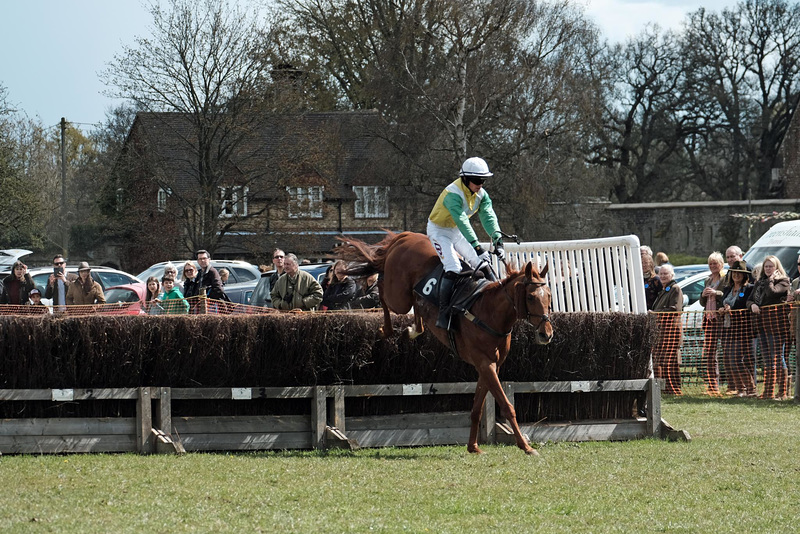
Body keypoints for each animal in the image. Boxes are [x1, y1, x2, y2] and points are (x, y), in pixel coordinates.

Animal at [336, 231, 552, 456]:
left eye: (549, 295)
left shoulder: (490, 366)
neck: (490, 312)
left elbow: (477, 408)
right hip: (399, 296)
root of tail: (406, 236)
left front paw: (473, 447)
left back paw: (414, 329)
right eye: (530, 297)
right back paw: (385, 328)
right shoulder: (485, 364)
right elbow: (507, 405)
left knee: (417, 305)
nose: (546, 334)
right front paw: (526, 447)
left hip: (412, 295)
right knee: (382, 289)